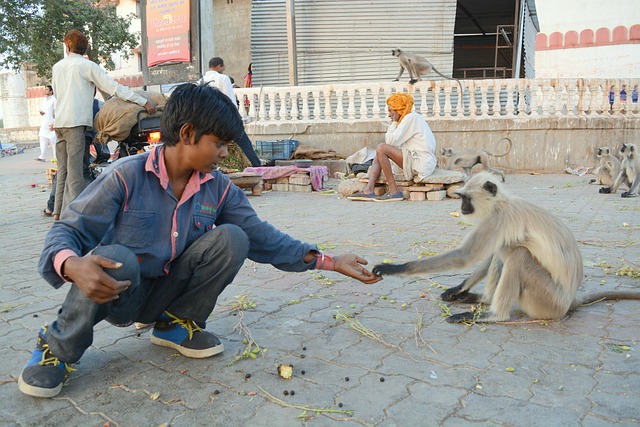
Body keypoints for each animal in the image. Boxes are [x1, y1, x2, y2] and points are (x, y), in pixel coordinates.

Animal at [370, 172, 640, 322]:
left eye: (465, 199)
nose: (462, 208)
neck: (501, 203)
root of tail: (570, 300)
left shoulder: (499, 219)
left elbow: (465, 256)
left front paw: (393, 267)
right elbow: (489, 253)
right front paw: (459, 288)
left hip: (547, 300)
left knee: (518, 255)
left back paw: (494, 315)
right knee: (505, 252)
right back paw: (482, 299)